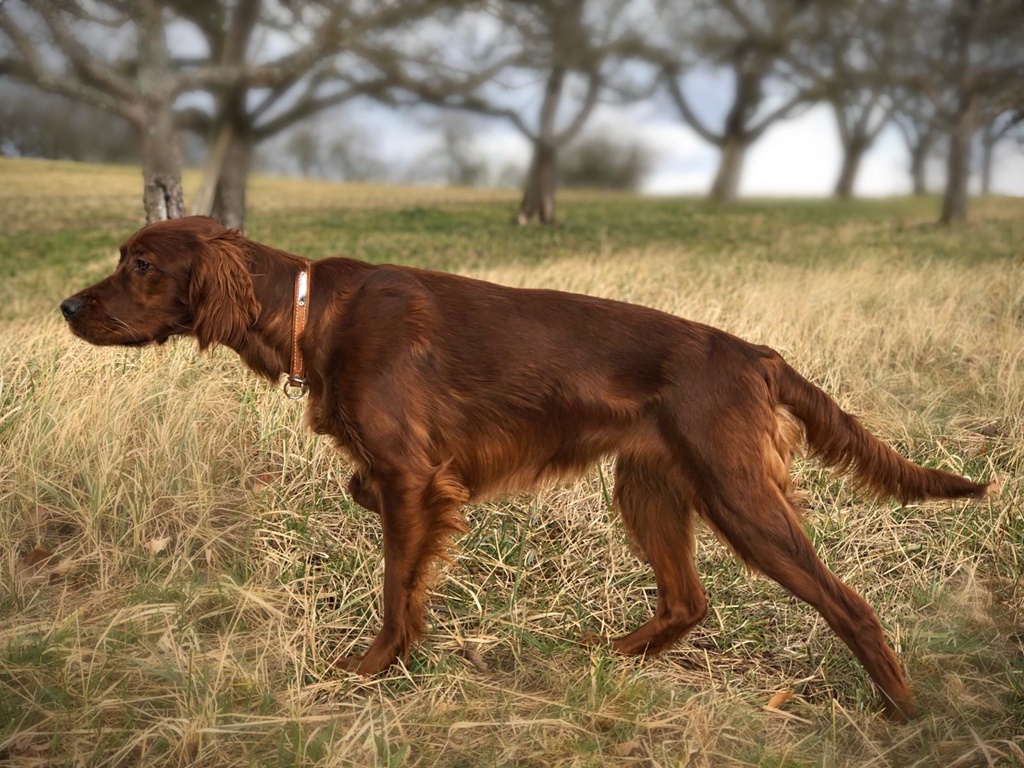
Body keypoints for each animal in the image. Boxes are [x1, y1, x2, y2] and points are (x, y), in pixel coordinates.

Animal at [60, 216, 991, 720]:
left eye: (141, 265)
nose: (67, 306)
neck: (308, 311)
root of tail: (756, 354)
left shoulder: (411, 475)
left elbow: (395, 582)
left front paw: (369, 669)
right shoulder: (412, 477)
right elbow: (380, 520)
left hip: (738, 496)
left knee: (849, 606)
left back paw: (902, 715)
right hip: (649, 488)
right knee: (687, 600)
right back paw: (606, 657)